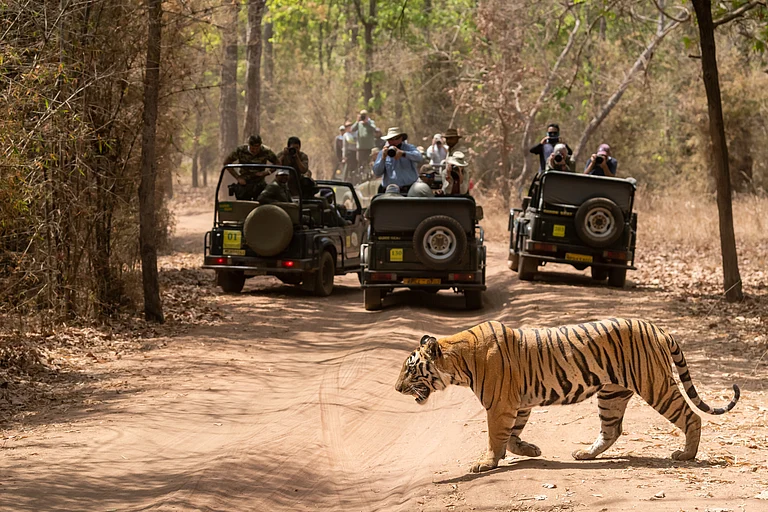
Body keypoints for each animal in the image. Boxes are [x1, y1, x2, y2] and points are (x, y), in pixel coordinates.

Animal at [395, 318, 740, 473]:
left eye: (410, 369)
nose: (396, 388)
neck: (459, 361)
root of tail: (658, 328)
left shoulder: (500, 404)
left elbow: (495, 436)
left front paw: (487, 462)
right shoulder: (518, 404)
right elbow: (511, 436)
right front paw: (530, 450)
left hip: (656, 385)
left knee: (691, 416)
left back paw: (686, 455)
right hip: (612, 395)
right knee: (612, 429)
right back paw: (585, 454)